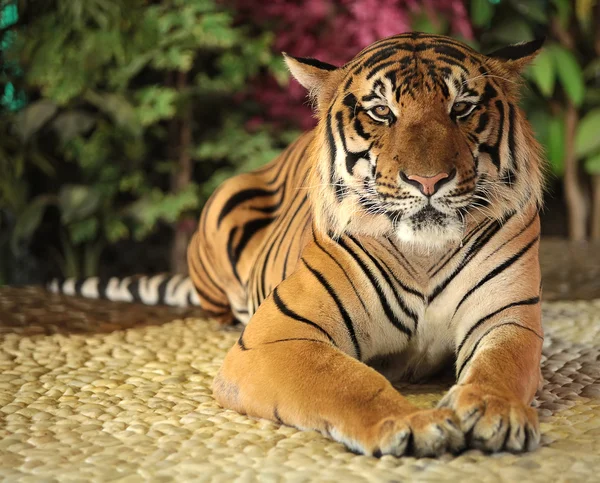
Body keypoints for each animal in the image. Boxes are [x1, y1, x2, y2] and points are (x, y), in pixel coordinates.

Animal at [52, 33, 548, 458]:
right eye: (381, 112)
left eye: (462, 107)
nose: (429, 181)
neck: (423, 253)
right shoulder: (278, 336)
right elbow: (348, 381)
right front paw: (411, 424)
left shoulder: (508, 317)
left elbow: (501, 364)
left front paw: (495, 411)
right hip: (224, 205)